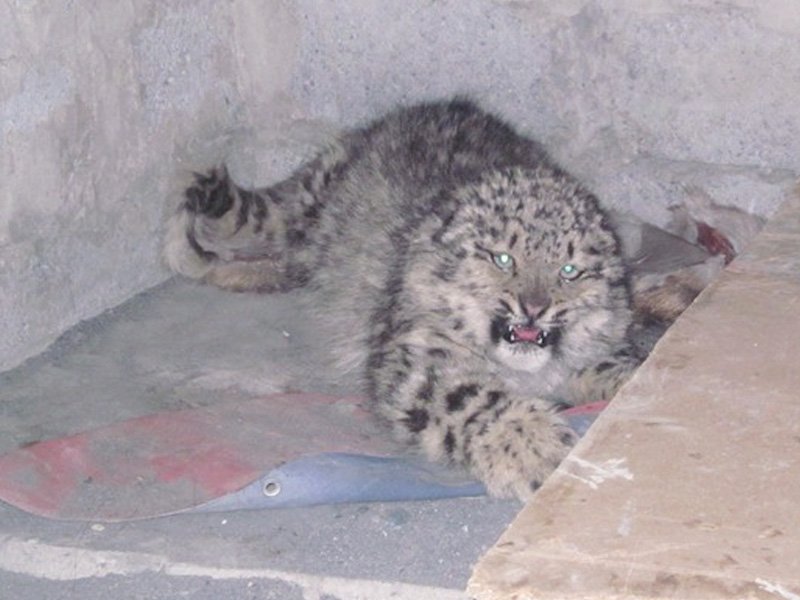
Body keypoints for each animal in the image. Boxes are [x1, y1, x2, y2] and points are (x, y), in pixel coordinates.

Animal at [162, 99, 636, 502]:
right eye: (502, 258)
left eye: (570, 271)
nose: (535, 308)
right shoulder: (418, 356)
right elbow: (467, 397)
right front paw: (535, 448)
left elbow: (614, 366)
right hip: (306, 222)